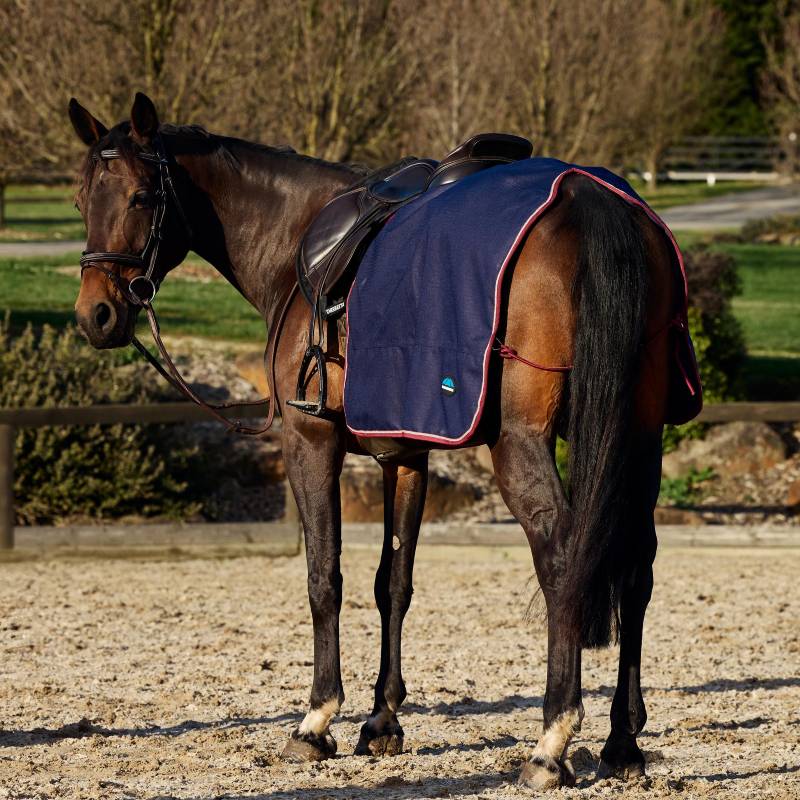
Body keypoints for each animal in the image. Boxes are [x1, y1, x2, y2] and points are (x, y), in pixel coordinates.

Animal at [68, 92, 678, 789]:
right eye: (82, 199)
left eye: (142, 196)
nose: (96, 316)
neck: (296, 240)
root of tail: (585, 196)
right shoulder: (406, 454)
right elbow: (395, 583)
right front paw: (382, 722)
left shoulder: (310, 442)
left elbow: (323, 577)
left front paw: (316, 721)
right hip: (639, 438)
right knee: (636, 564)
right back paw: (622, 741)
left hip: (523, 443)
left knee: (563, 559)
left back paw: (551, 741)